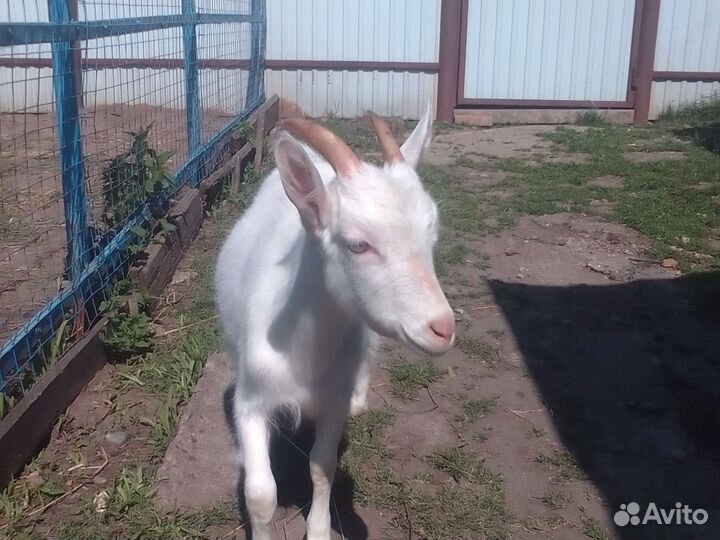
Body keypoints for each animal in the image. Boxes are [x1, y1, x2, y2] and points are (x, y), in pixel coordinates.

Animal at [214, 103, 455, 540]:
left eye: (433, 234)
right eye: (358, 244)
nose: (442, 328)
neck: (304, 353)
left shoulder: (332, 402)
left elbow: (322, 467)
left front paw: (320, 528)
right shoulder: (251, 401)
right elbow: (260, 492)